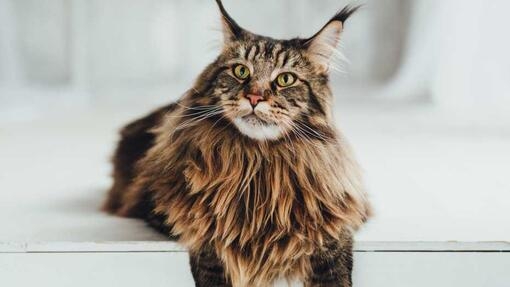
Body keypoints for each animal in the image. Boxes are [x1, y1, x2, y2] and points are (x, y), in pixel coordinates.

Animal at [104, 1, 370, 286]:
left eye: (285, 79)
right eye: (241, 71)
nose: (254, 97)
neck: (258, 164)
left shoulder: (337, 212)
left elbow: (333, 252)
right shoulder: (175, 210)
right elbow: (211, 241)